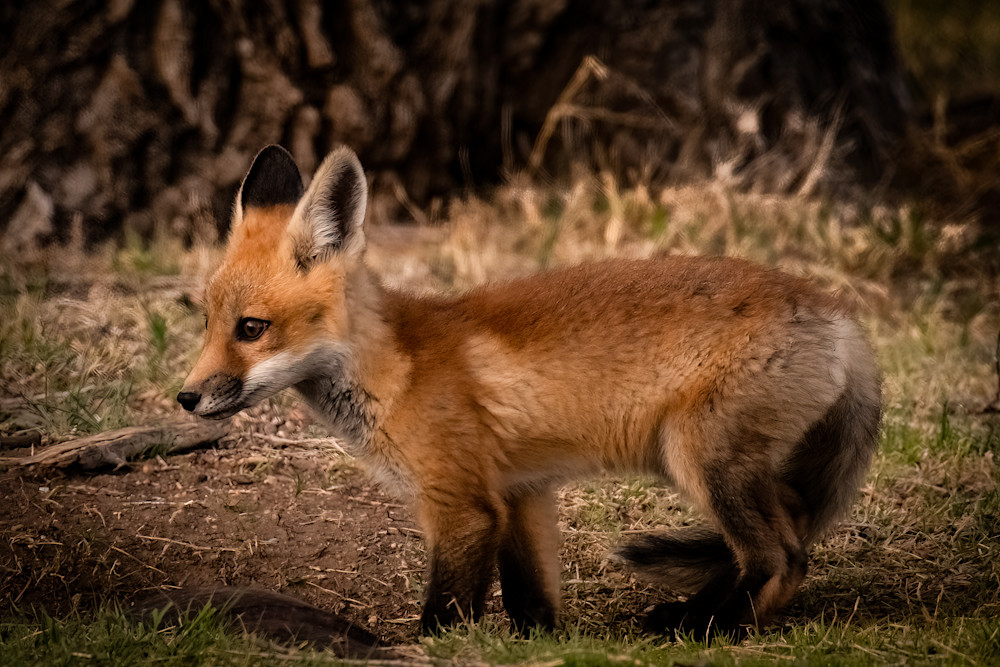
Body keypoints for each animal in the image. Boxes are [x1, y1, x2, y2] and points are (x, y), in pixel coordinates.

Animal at [177, 144, 881, 638]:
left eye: (252, 328)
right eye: (206, 321)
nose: (186, 399)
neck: (395, 368)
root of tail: (838, 311)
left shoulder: (462, 503)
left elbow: (447, 609)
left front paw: (435, 648)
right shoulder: (521, 493)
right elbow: (531, 601)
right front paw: (542, 643)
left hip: (700, 459)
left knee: (781, 556)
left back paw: (710, 629)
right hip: (733, 467)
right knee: (784, 536)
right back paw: (688, 617)